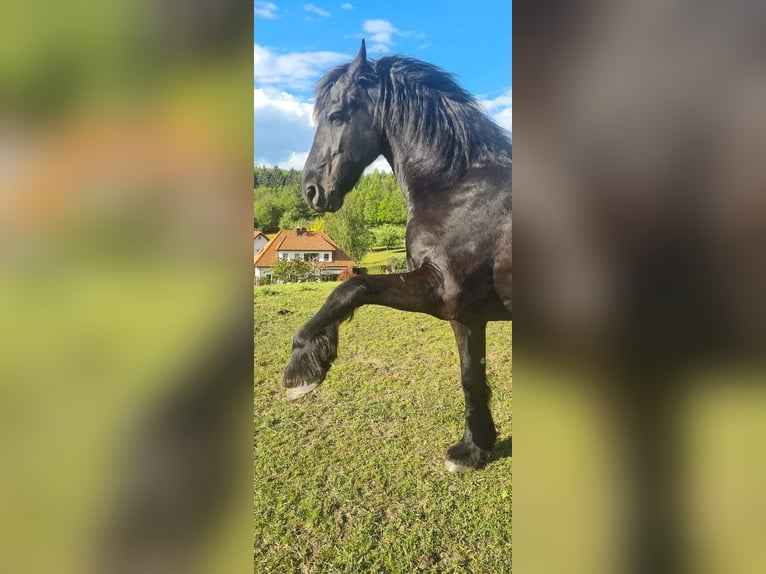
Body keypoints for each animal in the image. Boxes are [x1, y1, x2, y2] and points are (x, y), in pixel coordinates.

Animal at [283, 39, 512, 473]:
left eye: (336, 115)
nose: (311, 190)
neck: (458, 187)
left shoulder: (441, 293)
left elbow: (351, 287)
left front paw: (302, 369)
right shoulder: (466, 315)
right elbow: (471, 377)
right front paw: (473, 450)